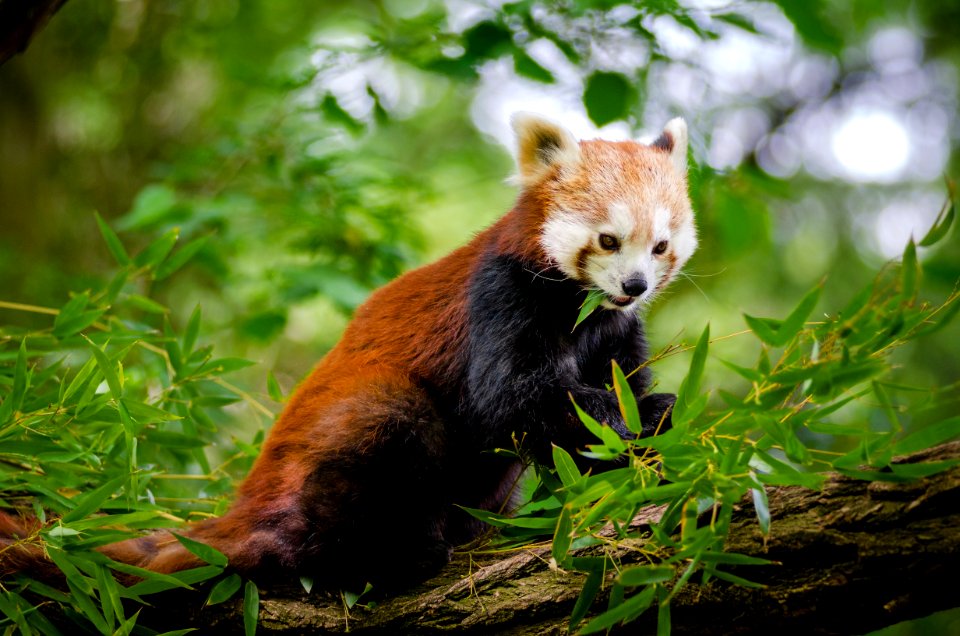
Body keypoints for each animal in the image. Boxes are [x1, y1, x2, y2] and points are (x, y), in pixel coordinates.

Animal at [0, 114, 696, 592]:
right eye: (608, 240)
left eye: (661, 245)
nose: (635, 285)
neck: (581, 313)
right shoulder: (502, 295)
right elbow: (516, 400)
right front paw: (626, 426)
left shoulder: (612, 332)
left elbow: (612, 391)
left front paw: (652, 423)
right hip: (347, 432)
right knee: (388, 427)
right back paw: (380, 556)